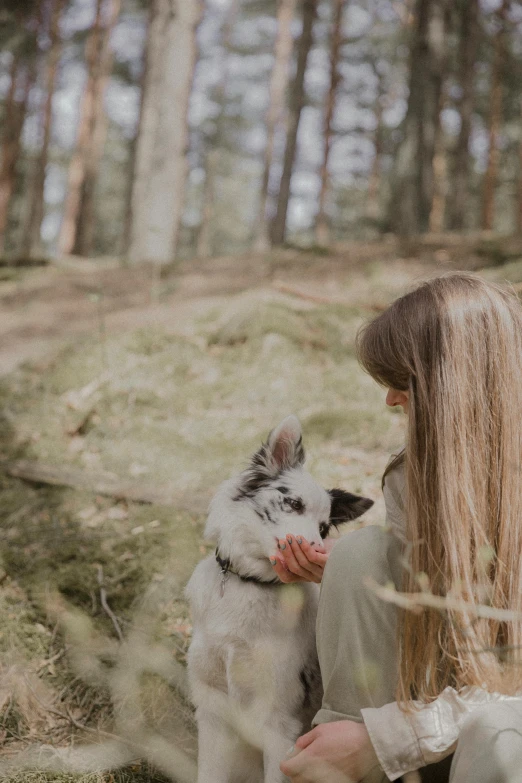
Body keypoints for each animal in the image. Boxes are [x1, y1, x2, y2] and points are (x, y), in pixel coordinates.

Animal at [185, 416, 372, 783]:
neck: (250, 584)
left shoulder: (279, 724)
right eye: (294, 504)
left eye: (324, 528)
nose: (317, 548)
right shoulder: (213, 711)